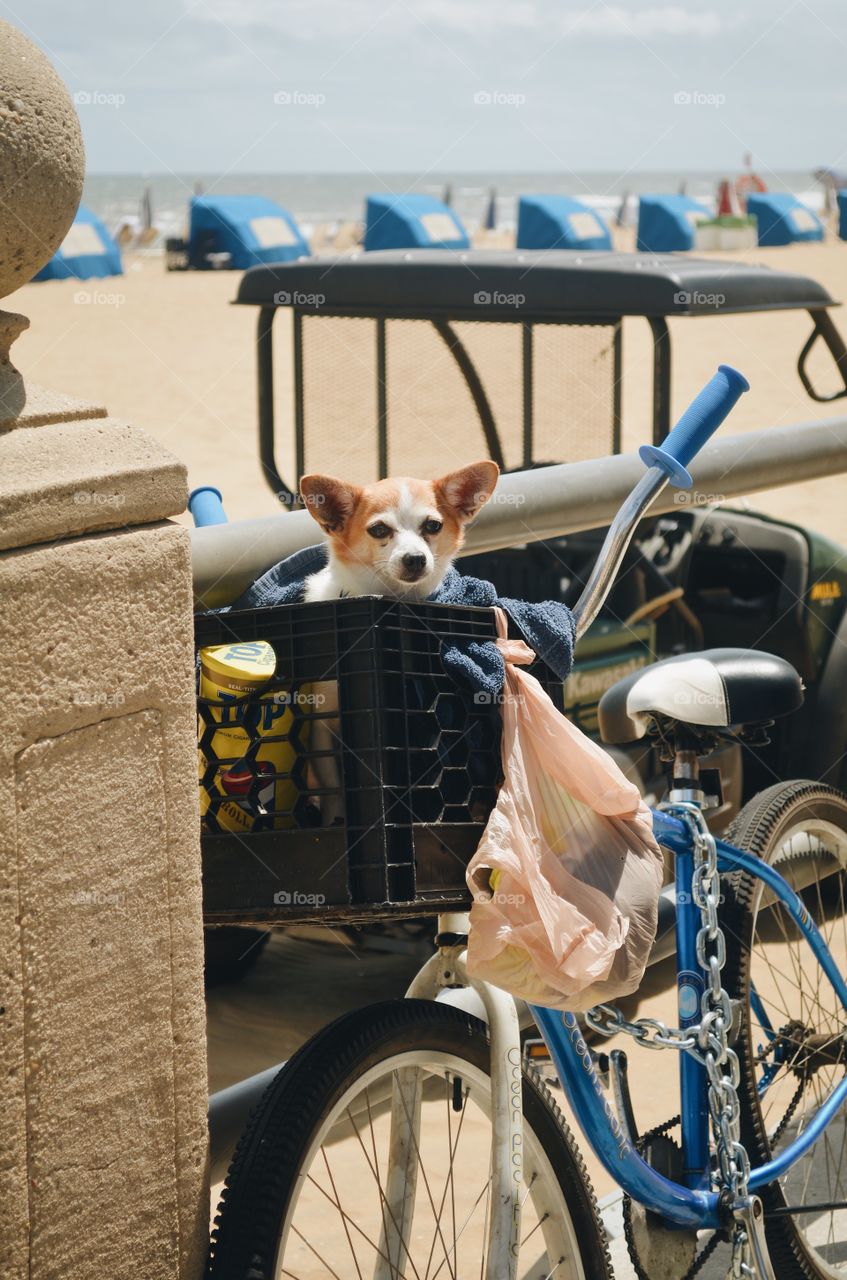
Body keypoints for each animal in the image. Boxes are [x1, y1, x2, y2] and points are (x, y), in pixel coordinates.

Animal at [298, 465, 501, 824]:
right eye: (379, 529)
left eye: (432, 526)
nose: (415, 558)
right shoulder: (321, 728)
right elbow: (335, 789)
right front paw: (335, 821)